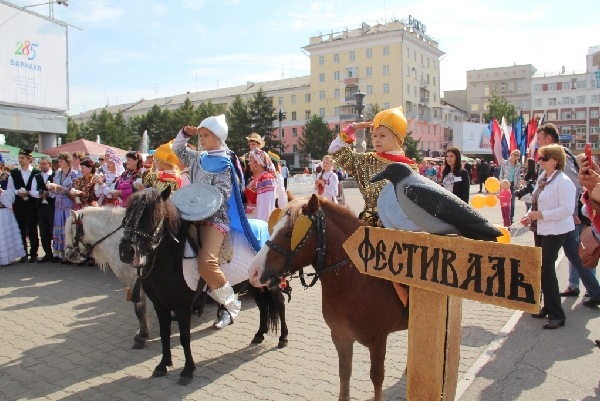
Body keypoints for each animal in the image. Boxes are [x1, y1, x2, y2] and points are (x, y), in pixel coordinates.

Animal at [118, 187, 288, 384]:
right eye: (127, 215)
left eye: (153, 217)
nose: (126, 251)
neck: (172, 258)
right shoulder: (160, 305)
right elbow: (164, 333)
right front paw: (163, 365)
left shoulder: (182, 307)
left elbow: (184, 337)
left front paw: (187, 370)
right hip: (254, 284)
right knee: (262, 306)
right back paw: (259, 335)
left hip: (270, 284)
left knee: (280, 303)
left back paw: (283, 338)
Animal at [248, 195, 409, 401]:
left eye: (289, 234)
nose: (254, 272)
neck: (358, 280)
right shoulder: (340, 337)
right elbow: (344, 373)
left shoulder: (378, 341)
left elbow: (377, 377)